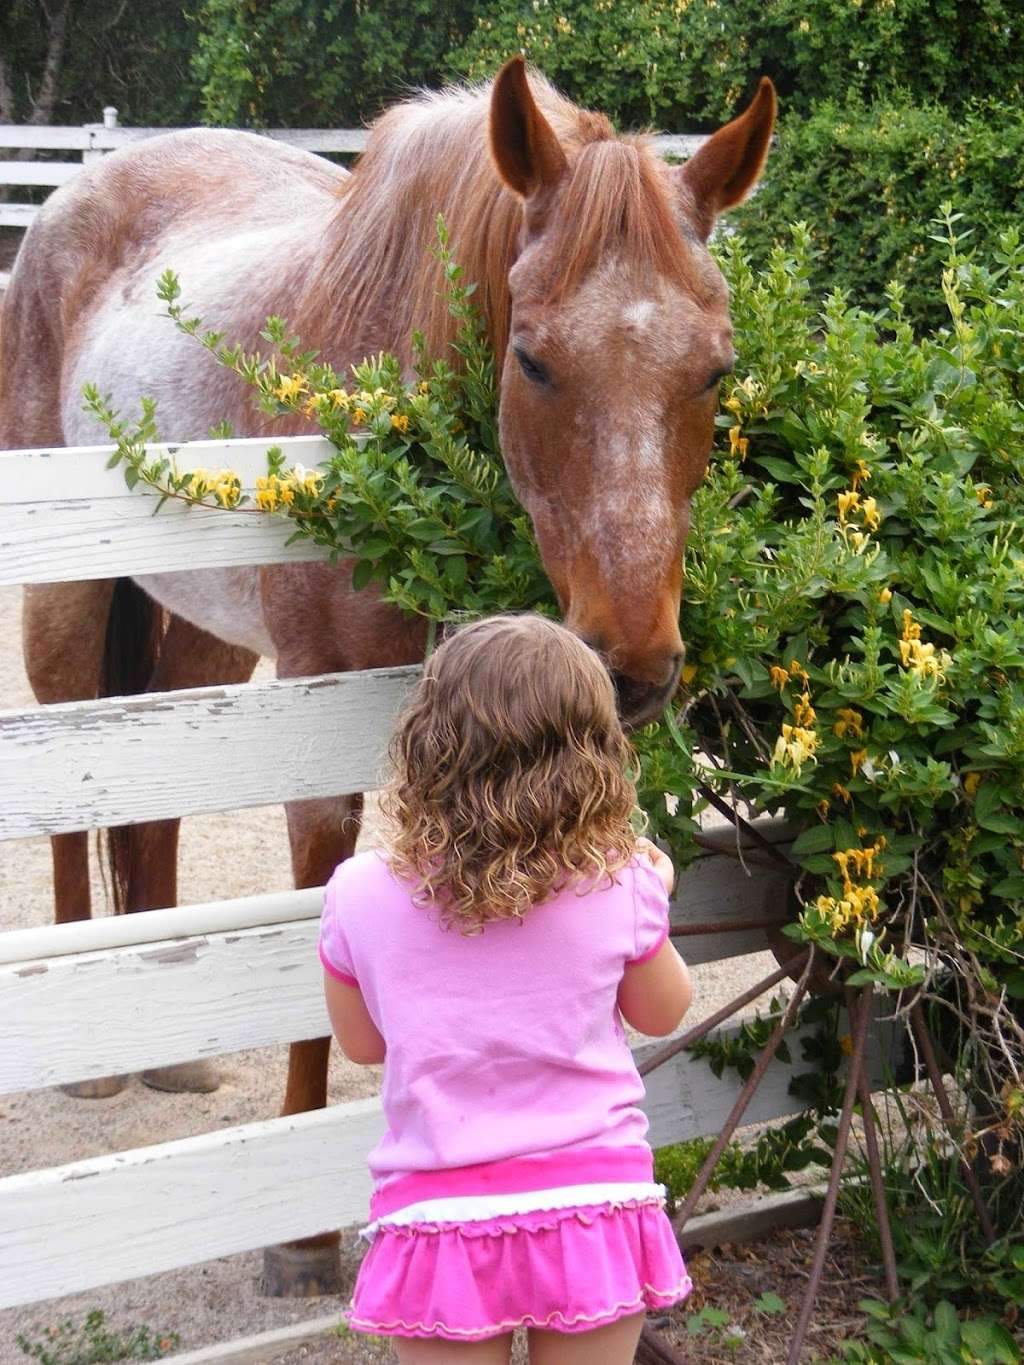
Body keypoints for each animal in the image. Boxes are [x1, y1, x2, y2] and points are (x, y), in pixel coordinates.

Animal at [0, 53, 775, 1288]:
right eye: (532, 358)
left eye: (716, 369)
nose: (634, 661)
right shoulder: (316, 719)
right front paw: (305, 1234)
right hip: (72, 597)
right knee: (77, 771)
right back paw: (98, 1056)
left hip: (201, 632)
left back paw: (173, 1048)